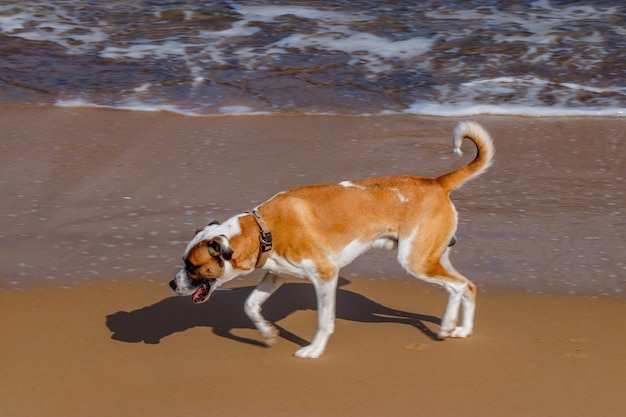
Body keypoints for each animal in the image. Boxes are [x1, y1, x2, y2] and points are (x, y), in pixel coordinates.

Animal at [169, 120, 492, 358]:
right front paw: (267, 333)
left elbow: (324, 320)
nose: (172, 284)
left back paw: (451, 326)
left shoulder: (326, 275)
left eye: (192, 266)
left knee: (459, 286)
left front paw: (313, 349)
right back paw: (459, 328)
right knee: (466, 286)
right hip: (432, 258)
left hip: (416, 262)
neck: (261, 229)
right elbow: (250, 305)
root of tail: (437, 183)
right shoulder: (276, 275)